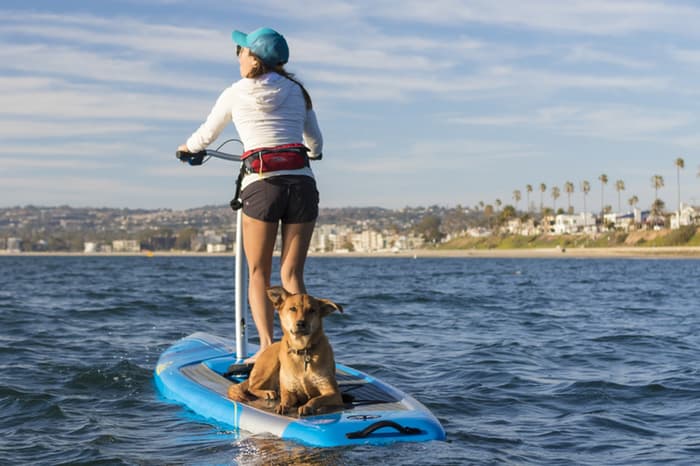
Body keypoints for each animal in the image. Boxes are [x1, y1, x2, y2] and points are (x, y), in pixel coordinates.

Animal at [228, 286, 346, 416]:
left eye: (312, 310)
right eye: (293, 309)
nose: (301, 323)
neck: (302, 350)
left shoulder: (333, 393)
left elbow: (315, 399)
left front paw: (307, 406)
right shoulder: (289, 390)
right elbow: (285, 399)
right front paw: (282, 405)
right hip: (271, 363)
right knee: (251, 387)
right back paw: (267, 392)